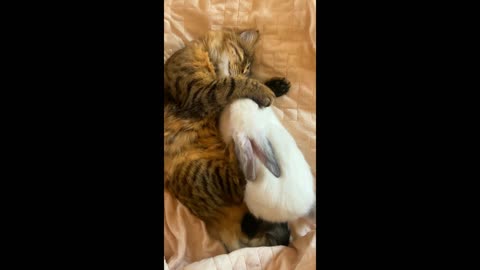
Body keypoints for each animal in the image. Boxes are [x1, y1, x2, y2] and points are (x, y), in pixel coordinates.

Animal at [163, 28, 290, 252]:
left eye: (248, 69)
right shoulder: (198, 93)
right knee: (240, 182)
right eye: (244, 64)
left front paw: (275, 86)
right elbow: (231, 84)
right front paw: (265, 91)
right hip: (205, 172)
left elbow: (234, 86)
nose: (242, 71)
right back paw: (245, 148)